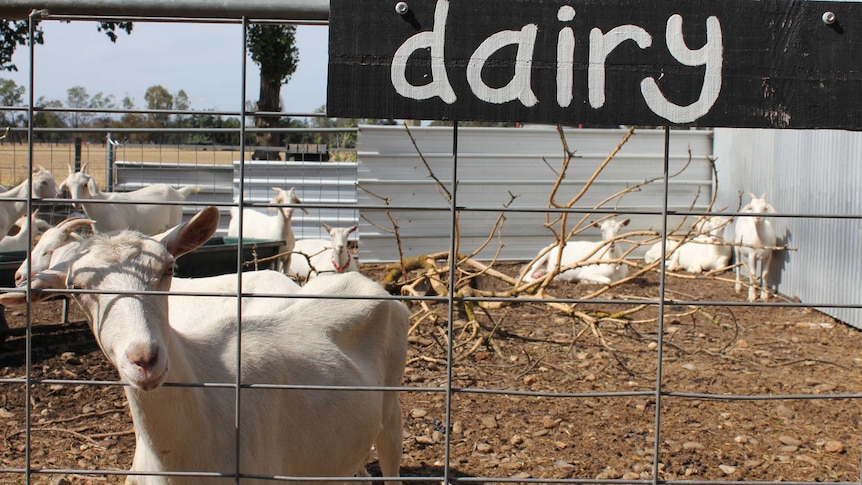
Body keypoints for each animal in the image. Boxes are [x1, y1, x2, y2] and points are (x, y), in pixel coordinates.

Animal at [58, 162, 200, 235]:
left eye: (84, 184)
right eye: (68, 186)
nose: (75, 203)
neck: (101, 206)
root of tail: (178, 193)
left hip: (174, 221)